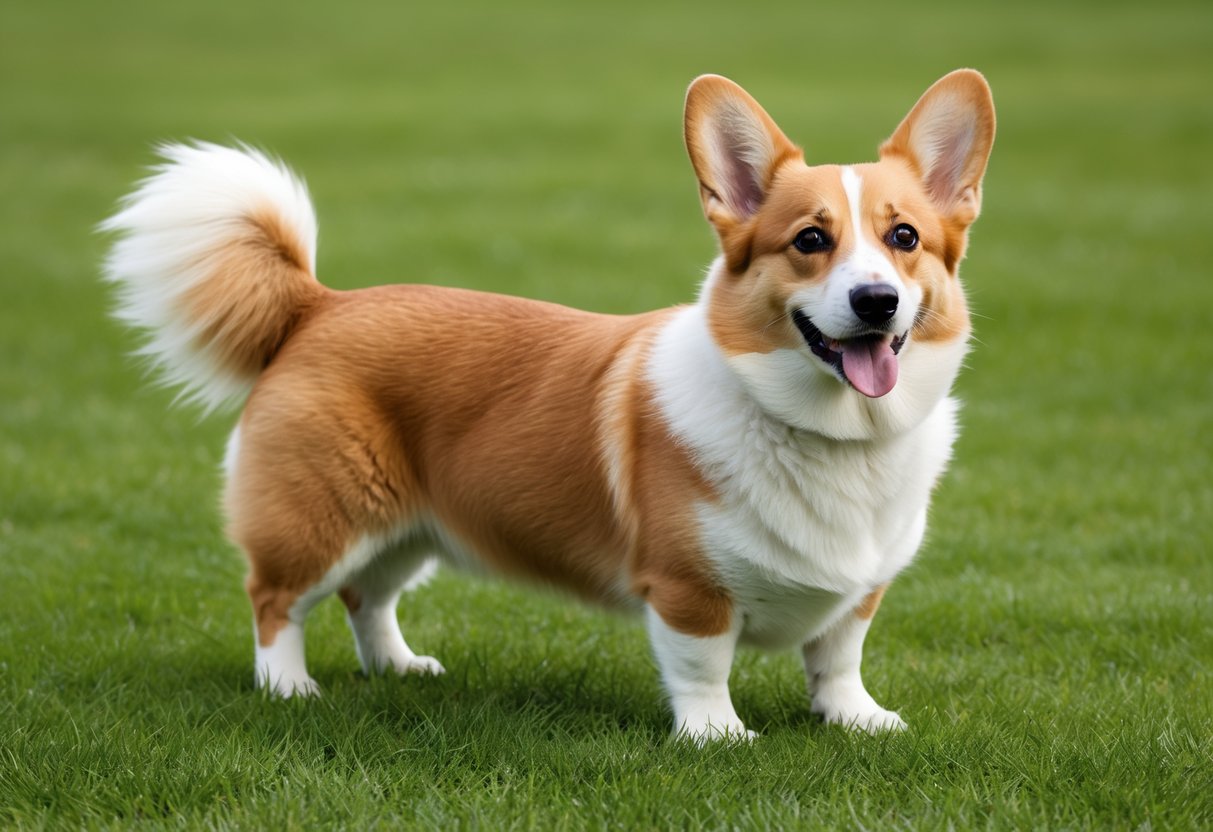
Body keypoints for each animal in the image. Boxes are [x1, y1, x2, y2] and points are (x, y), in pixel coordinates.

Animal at [101, 71, 994, 742]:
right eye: (810, 241)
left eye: (905, 238)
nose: (876, 301)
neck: (829, 432)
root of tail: (317, 305)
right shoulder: (686, 589)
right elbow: (703, 667)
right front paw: (717, 736)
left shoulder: (860, 589)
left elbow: (838, 655)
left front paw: (856, 719)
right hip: (322, 515)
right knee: (275, 599)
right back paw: (288, 687)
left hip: (409, 525)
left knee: (368, 596)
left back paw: (398, 668)